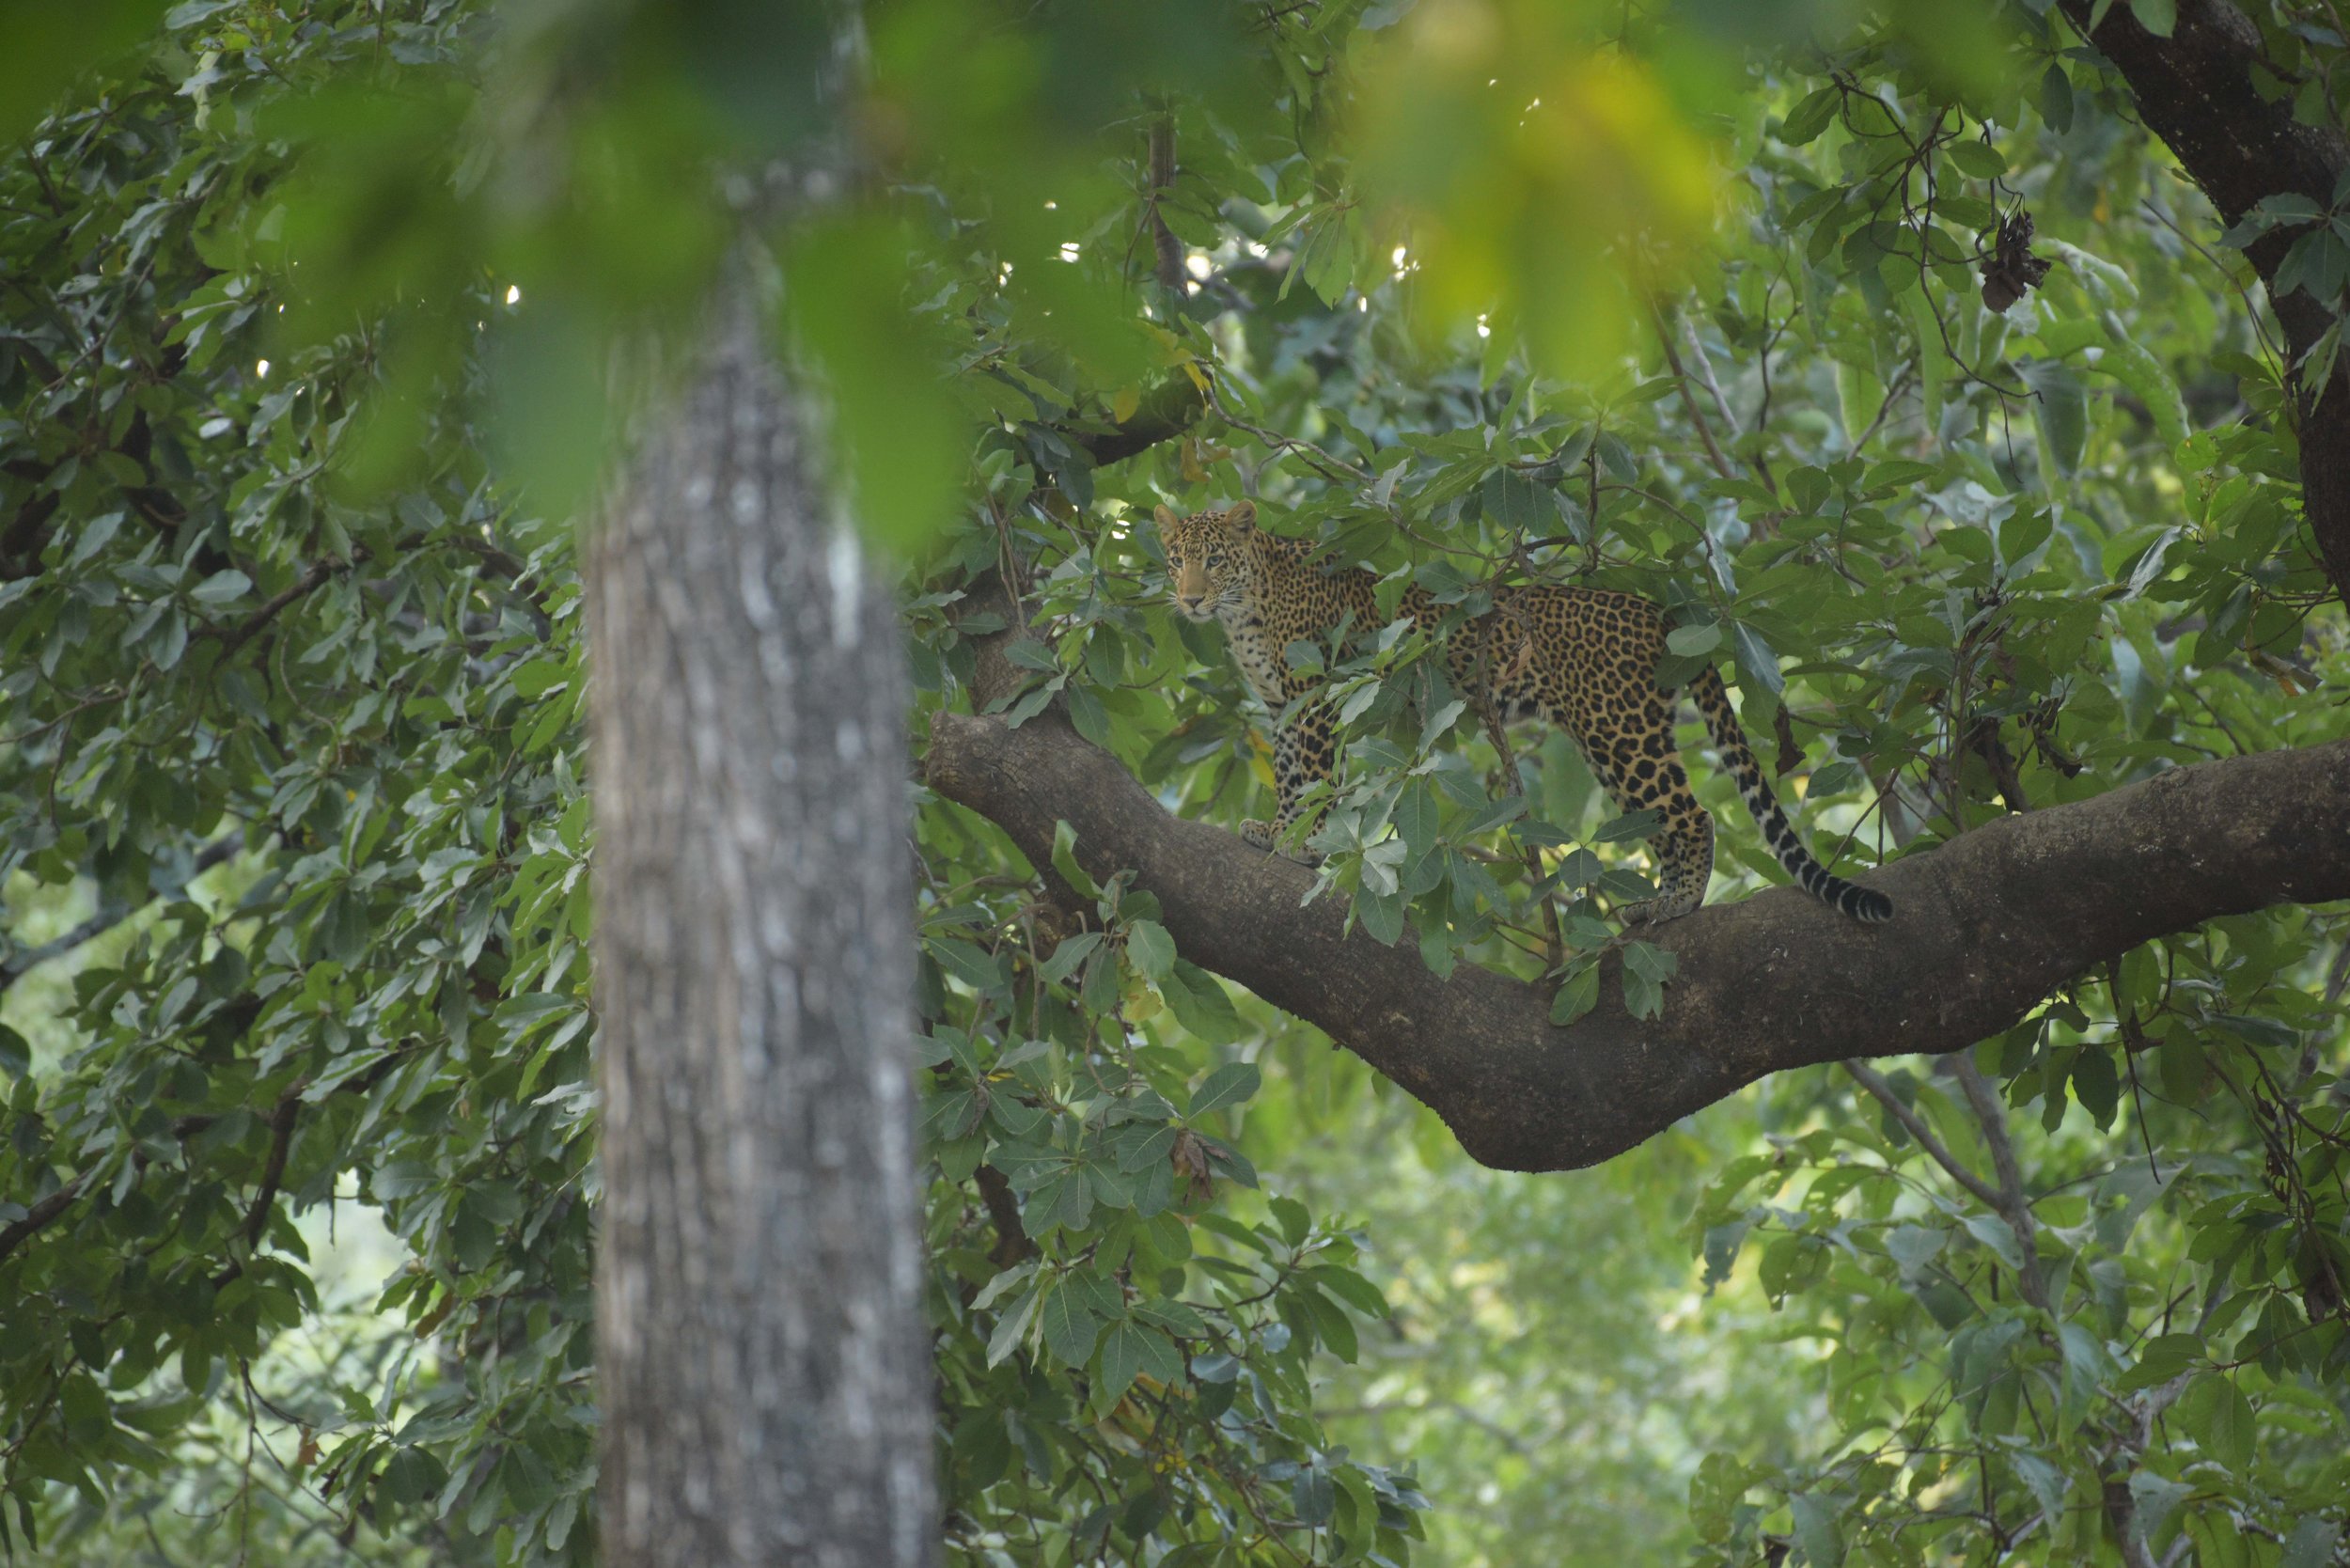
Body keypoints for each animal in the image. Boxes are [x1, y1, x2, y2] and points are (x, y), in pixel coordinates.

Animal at [1156, 503, 1889, 926]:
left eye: (1214, 560)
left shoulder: (1316, 699)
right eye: (1175, 561)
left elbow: (1312, 778)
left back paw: (1677, 904)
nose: (1188, 600)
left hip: (1619, 731)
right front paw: (1275, 828)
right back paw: (1658, 899)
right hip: (1617, 738)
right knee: (1665, 820)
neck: (1242, 611)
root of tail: (1656, 611)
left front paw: (1303, 844)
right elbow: (1289, 777)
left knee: (1692, 815)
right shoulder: (1282, 707)